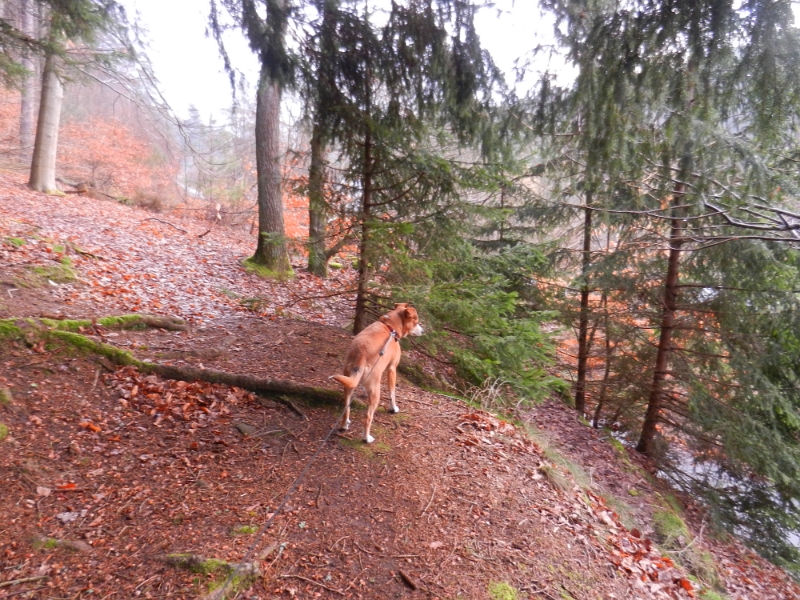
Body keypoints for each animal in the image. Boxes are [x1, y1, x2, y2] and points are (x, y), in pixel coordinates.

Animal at [330, 302, 422, 442]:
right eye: (416, 322)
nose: (423, 331)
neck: (390, 327)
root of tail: (360, 355)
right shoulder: (392, 369)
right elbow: (392, 393)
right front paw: (393, 408)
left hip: (348, 384)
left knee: (346, 408)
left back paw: (344, 425)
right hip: (375, 392)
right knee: (368, 417)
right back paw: (366, 438)